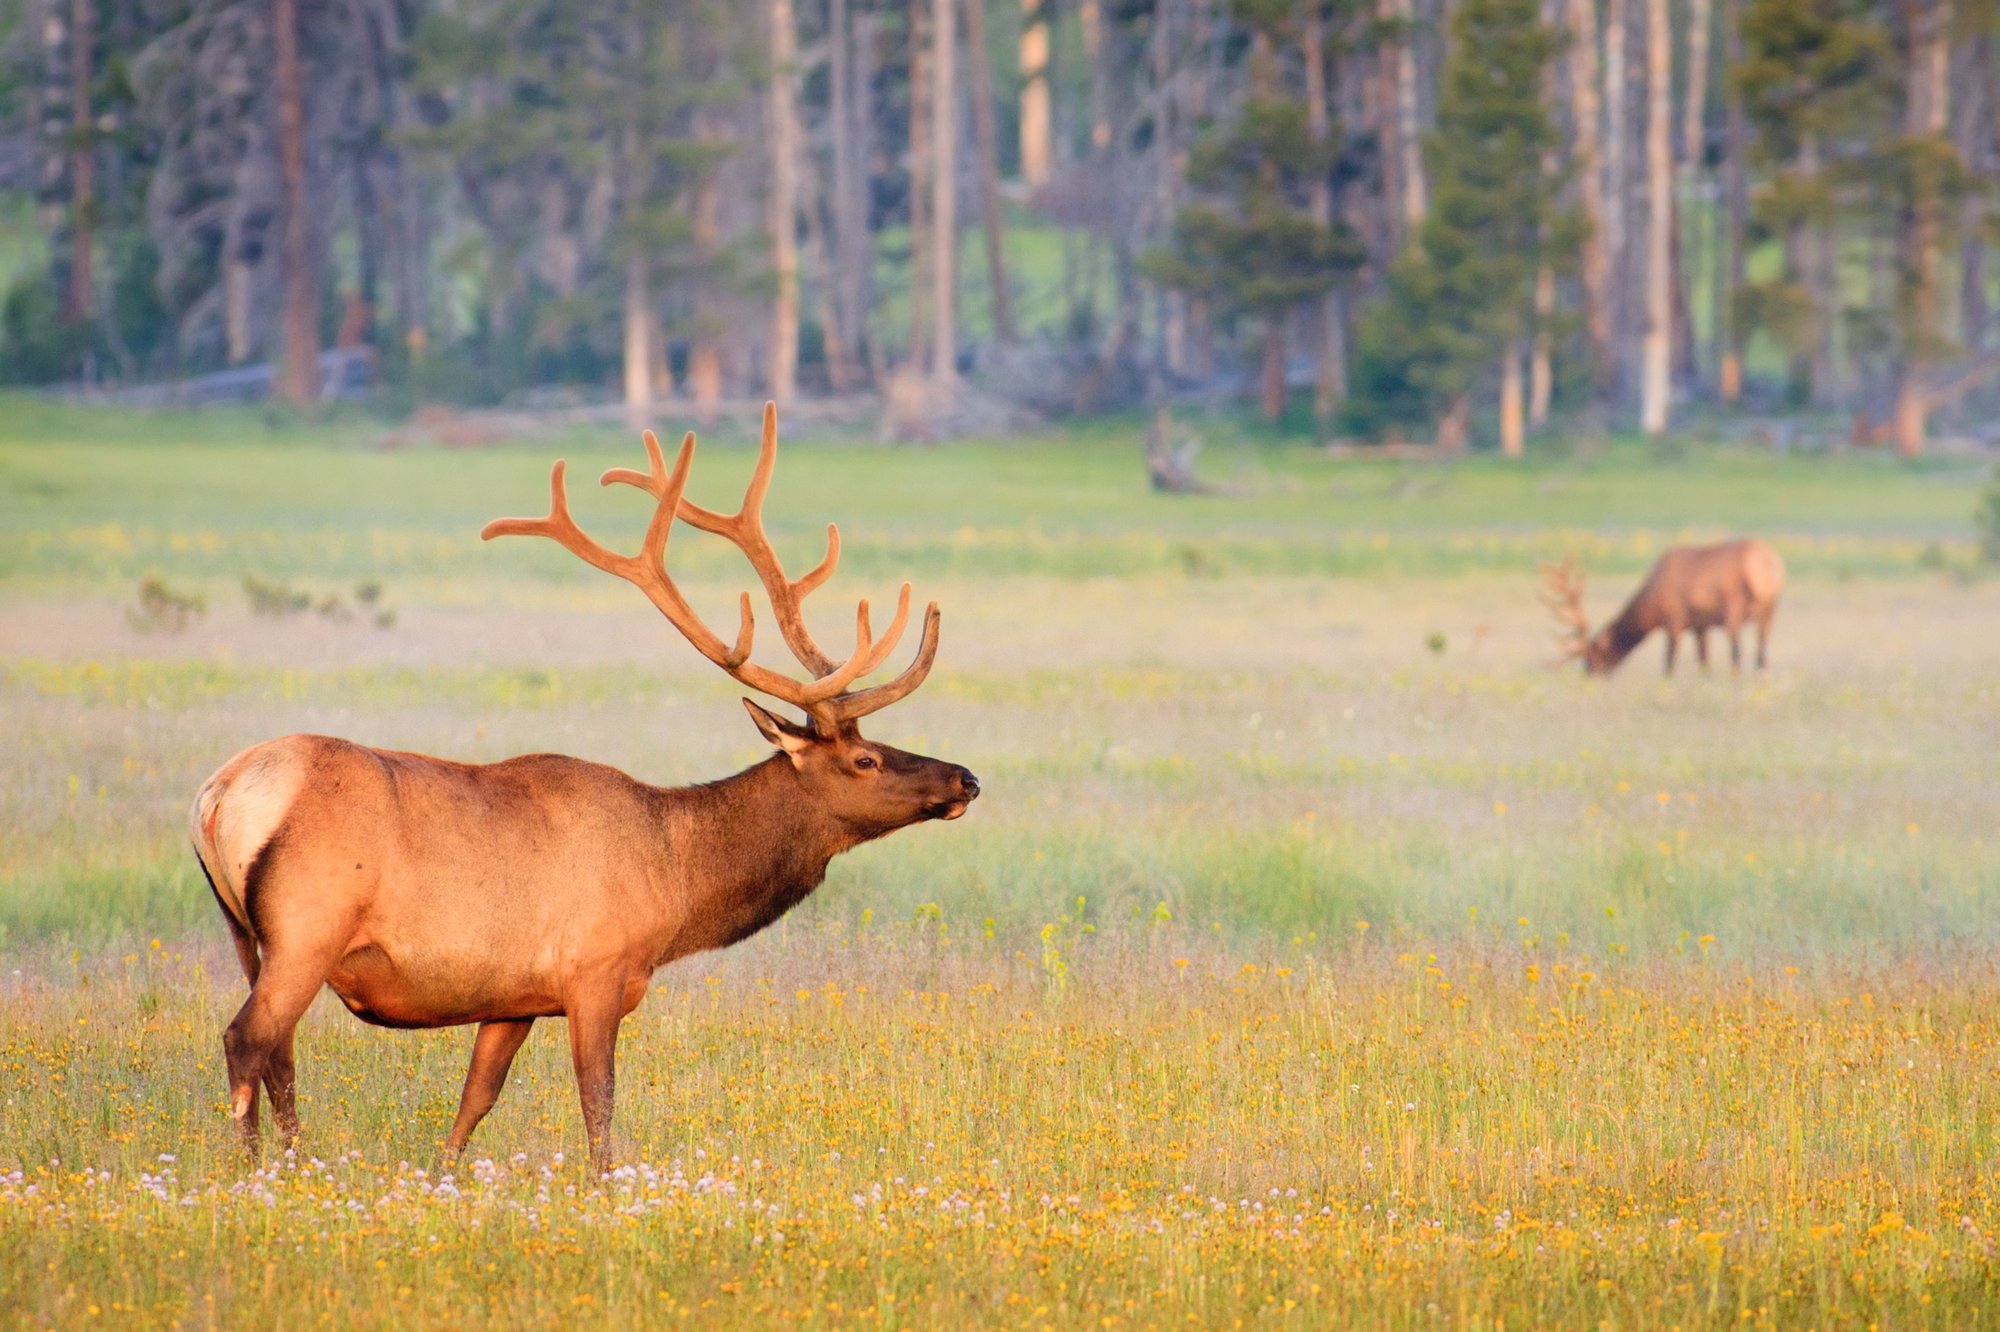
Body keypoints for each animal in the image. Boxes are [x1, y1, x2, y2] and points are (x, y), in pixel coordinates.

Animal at [184, 402, 980, 1160]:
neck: (677, 881)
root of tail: (216, 796)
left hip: (247, 935)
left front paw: (445, 1177)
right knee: (248, 1041)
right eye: (865, 760)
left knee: (279, 1053)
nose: (965, 778)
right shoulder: (596, 970)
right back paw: (257, 1171)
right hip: (307, 927)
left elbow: (473, 1103)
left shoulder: (514, 997)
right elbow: (599, 1105)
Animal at [1536, 536, 1792, 668]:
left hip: (1734, 605)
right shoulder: (1700, 626)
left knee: (1737, 653)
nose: (1588, 676)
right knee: (1761, 653)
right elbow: (1704, 662)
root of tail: (1769, 564)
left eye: (1593, 657)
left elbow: (1668, 663)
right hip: (1770, 608)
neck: (1651, 608)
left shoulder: (1674, 619)